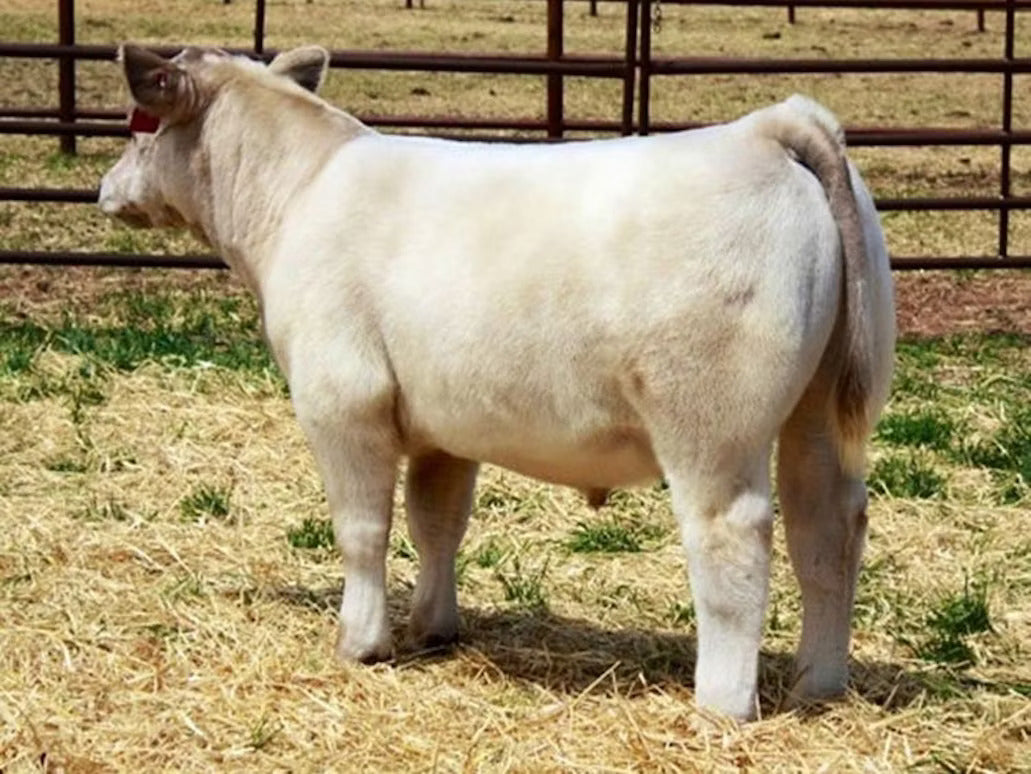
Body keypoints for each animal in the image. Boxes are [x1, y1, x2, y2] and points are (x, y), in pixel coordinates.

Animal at [98, 44, 895, 721]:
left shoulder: (341, 403)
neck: (301, 193)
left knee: (733, 540)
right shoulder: (442, 426)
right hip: (819, 412)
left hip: (711, 427)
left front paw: (361, 641)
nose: (106, 190)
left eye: (139, 124)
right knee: (828, 528)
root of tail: (764, 128)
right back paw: (818, 682)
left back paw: (721, 704)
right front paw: (433, 627)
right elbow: (437, 521)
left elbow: (362, 529)